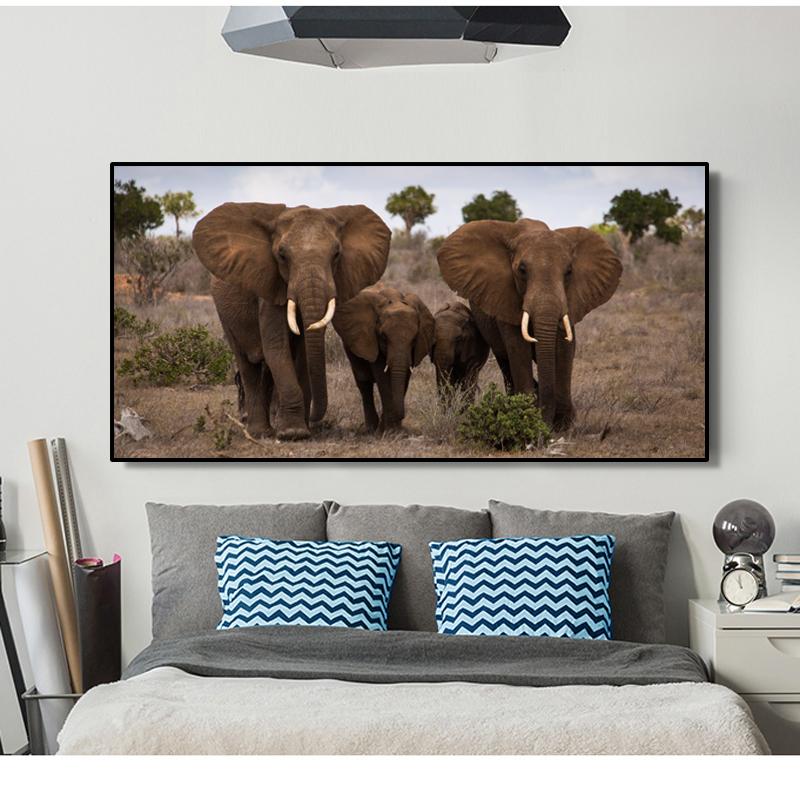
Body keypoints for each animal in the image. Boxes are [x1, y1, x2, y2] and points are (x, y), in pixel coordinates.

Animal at [193, 203, 390, 440]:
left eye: (336, 254)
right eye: (282, 255)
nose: (314, 418)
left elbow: (303, 352)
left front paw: (301, 429)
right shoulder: (270, 287)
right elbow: (276, 347)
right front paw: (293, 433)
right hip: (224, 314)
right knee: (247, 363)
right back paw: (259, 432)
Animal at [333, 283, 435, 433]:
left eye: (414, 339)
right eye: (383, 337)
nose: (402, 416)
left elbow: (404, 377)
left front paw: (394, 429)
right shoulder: (371, 338)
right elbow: (383, 378)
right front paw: (389, 430)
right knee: (363, 382)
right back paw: (371, 428)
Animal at [437, 219, 622, 430]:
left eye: (569, 272)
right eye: (522, 270)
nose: (547, 423)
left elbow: (565, 349)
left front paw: (563, 424)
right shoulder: (504, 298)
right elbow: (518, 347)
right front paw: (528, 414)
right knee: (505, 361)